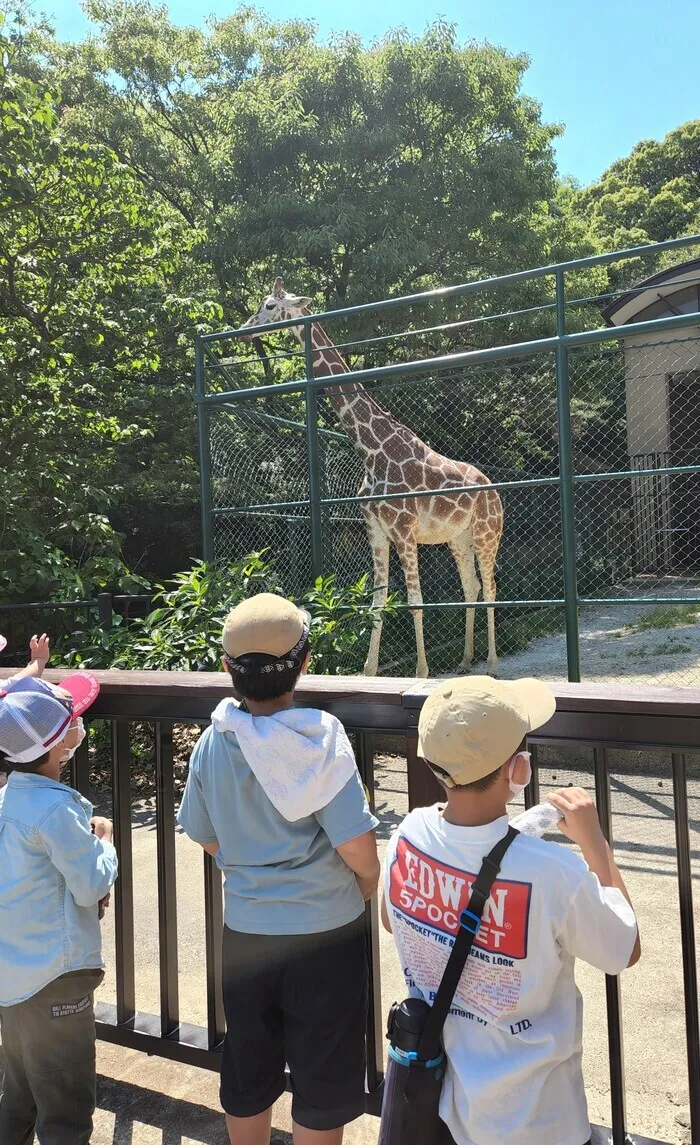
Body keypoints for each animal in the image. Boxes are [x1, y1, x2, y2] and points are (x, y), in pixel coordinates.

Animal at [245, 278, 504, 673]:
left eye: (270, 305)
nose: (246, 328)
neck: (371, 448)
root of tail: (494, 490)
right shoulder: (377, 531)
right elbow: (377, 603)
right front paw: (369, 670)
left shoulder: (404, 531)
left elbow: (415, 600)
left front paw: (421, 671)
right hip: (459, 538)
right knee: (471, 586)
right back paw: (465, 660)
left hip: (488, 533)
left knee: (490, 587)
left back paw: (491, 663)